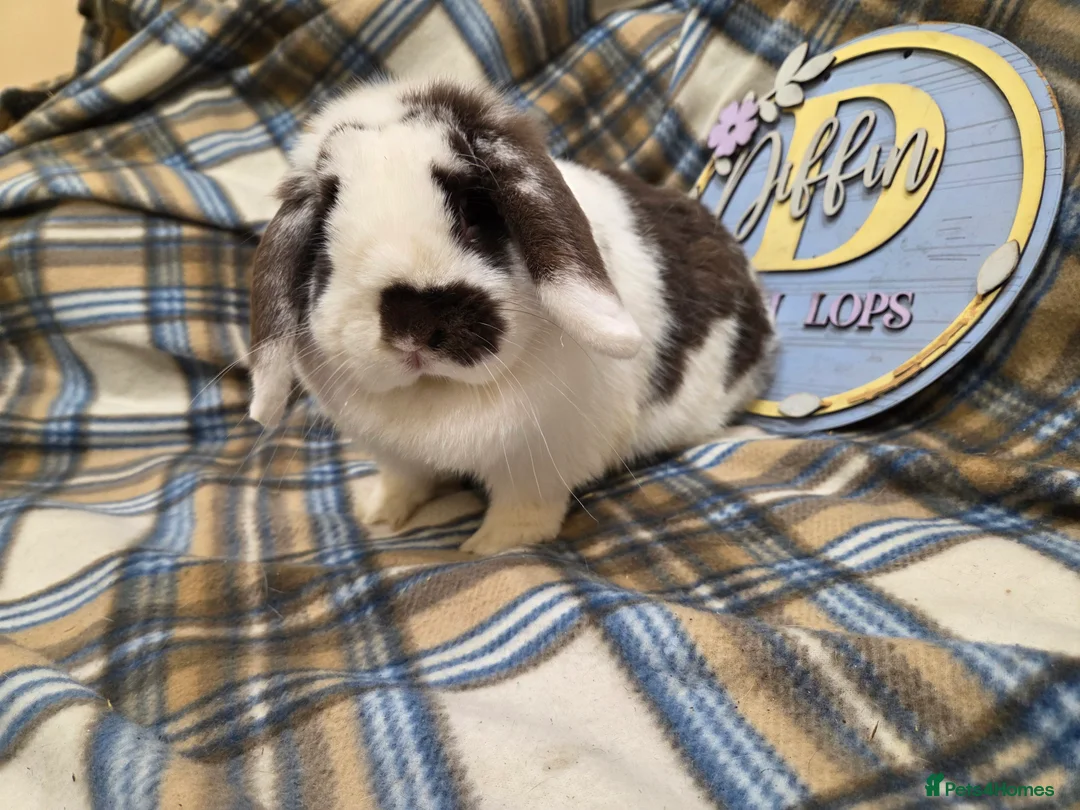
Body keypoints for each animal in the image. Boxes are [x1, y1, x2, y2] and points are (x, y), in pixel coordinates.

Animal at [248, 78, 776, 556]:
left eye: (471, 211)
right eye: (324, 239)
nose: (412, 326)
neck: (438, 391)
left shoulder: (538, 462)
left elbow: (524, 510)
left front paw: (489, 548)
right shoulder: (398, 456)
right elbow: (405, 480)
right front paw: (378, 516)